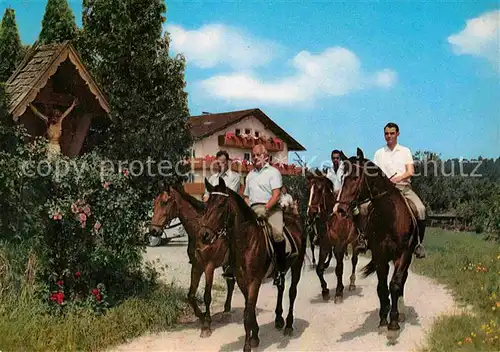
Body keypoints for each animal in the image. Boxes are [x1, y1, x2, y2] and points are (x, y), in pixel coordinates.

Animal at [149, 184, 235, 338]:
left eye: (165, 202)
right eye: (154, 203)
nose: (153, 230)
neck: (199, 231)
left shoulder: (209, 267)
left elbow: (207, 296)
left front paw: (206, 325)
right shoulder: (196, 266)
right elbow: (191, 296)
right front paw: (202, 318)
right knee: (230, 283)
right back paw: (226, 310)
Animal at [198, 179, 304, 352]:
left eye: (220, 205)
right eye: (206, 205)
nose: (204, 235)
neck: (247, 242)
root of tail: (294, 218)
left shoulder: (254, 281)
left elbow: (248, 312)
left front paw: (247, 345)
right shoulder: (242, 281)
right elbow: (250, 309)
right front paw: (255, 337)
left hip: (297, 266)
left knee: (292, 292)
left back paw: (288, 325)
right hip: (280, 271)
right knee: (281, 289)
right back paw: (279, 319)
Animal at [306, 175, 362, 304]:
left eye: (319, 190)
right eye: (309, 189)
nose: (310, 214)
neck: (331, 220)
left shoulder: (338, 247)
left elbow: (339, 269)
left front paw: (338, 293)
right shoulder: (325, 246)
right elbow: (319, 269)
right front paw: (325, 291)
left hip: (354, 242)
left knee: (354, 260)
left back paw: (352, 283)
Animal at [336, 148, 418, 338]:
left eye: (355, 178)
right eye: (343, 178)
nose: (341, 210)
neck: (389, 217)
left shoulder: (403, 254)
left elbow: (394, 285)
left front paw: (393, 324)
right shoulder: (379, 255)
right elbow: (382, 287)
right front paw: (382, 321)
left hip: (408, 256)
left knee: (402, 279)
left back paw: (401, 311)